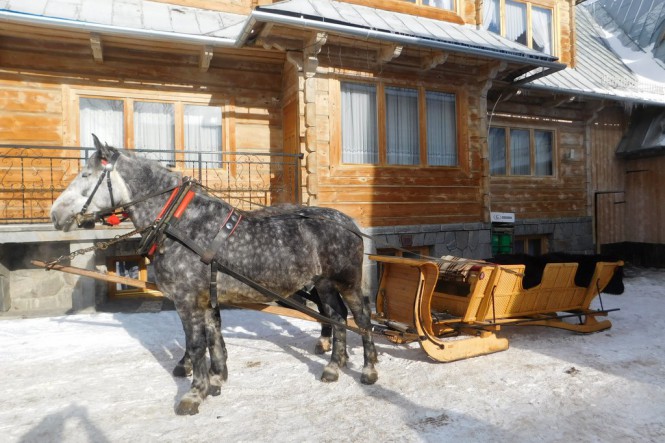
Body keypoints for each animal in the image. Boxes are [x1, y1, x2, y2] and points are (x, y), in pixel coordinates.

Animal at [50, 136, 378, 415]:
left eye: (85, 175)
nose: (55, 214)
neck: (181, 225)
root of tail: (349, 221)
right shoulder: (205, 298)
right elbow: (213, 339)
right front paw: (216, 380)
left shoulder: (186, 300)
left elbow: (196, 345)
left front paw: (194, 394)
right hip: (324, 283)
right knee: (336, 316)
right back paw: (334, 366)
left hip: (347, 281)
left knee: (361, 319)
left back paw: (369, 369)